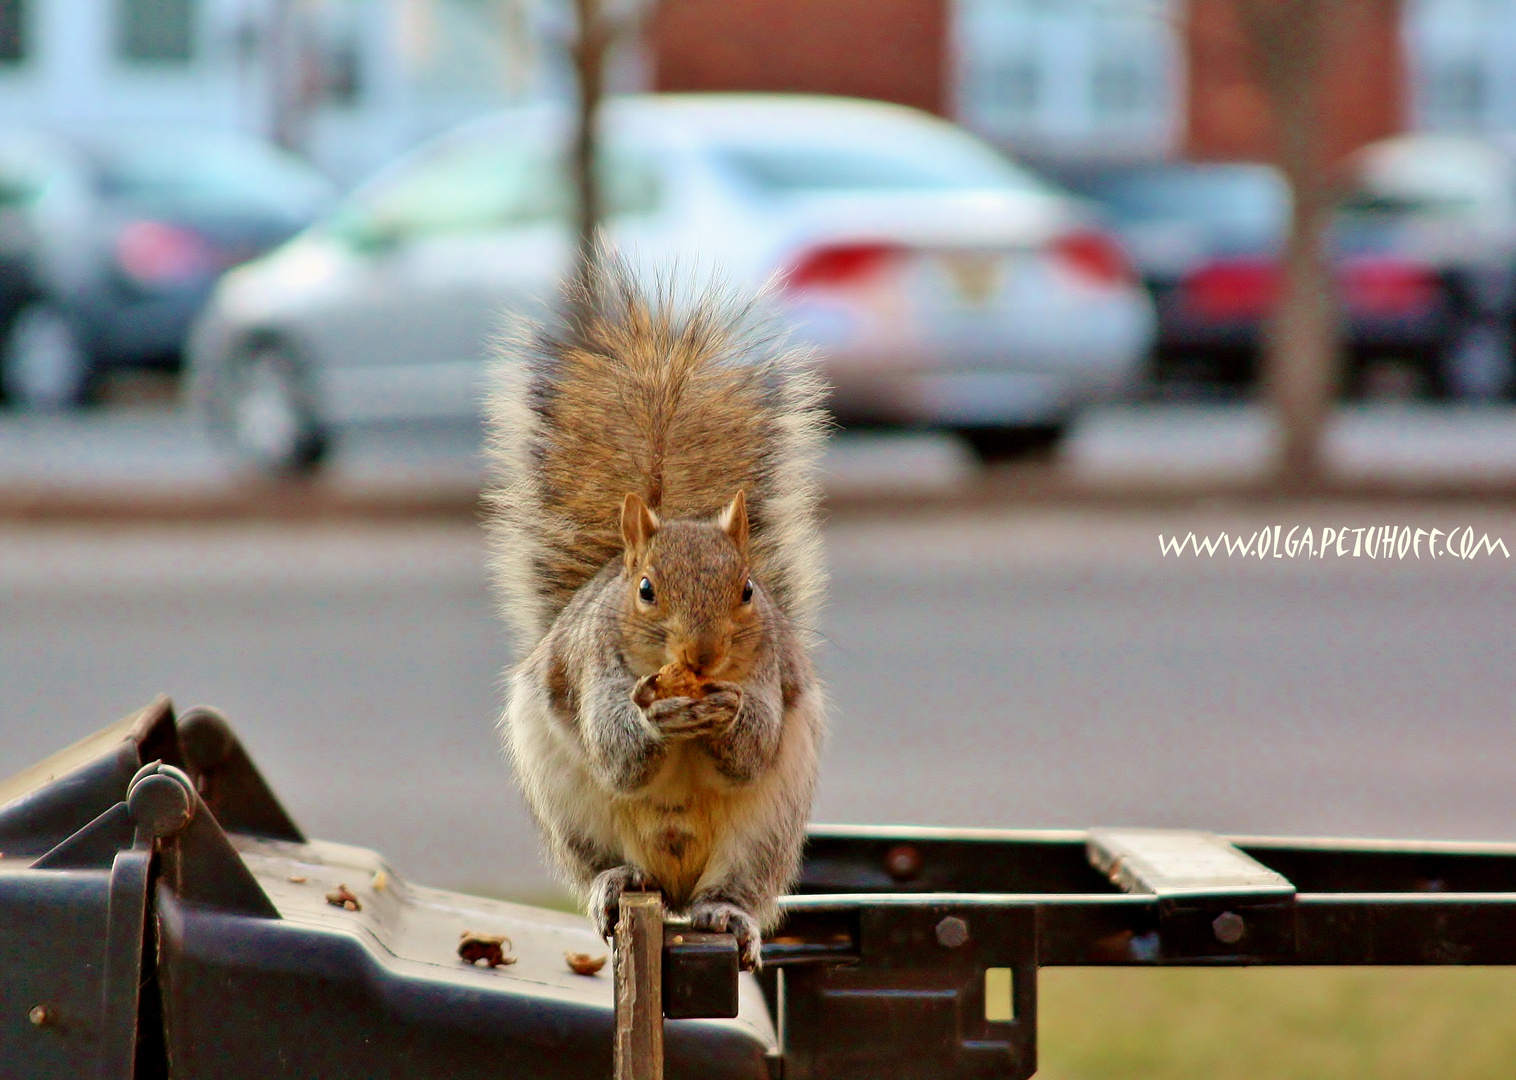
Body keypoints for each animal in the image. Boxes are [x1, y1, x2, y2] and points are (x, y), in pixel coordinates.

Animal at [485, 268, 830, 970]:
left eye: (747, 590)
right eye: (645, 589)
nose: (701, 656)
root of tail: (671, 892)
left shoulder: (769, 670)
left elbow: (752, 749)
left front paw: (729, 713)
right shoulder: (592, 668)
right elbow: (618, 753)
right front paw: (655, 715)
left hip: (768, 831)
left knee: (735, 888)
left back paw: (727, 914)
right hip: (571, 811)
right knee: (606, 860)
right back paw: (616, 882)